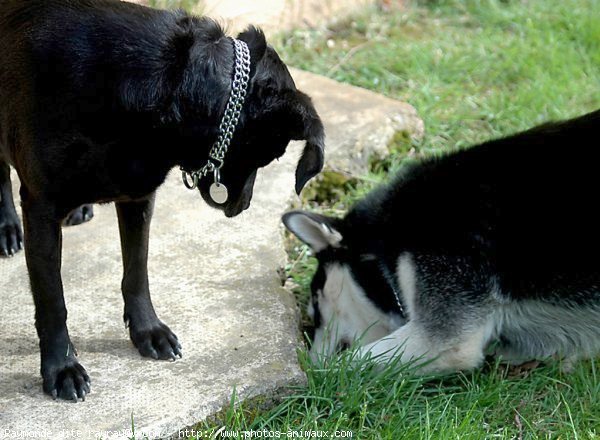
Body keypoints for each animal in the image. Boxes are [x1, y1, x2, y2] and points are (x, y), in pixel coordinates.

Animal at [0, 0, 324, 402]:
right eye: (274, 155)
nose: (244, 205)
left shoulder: (138, 195)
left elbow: (137, 270)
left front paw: (148, 331)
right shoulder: (40, 207)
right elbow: (52, 301)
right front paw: (62, 368)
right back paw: (7, 228)